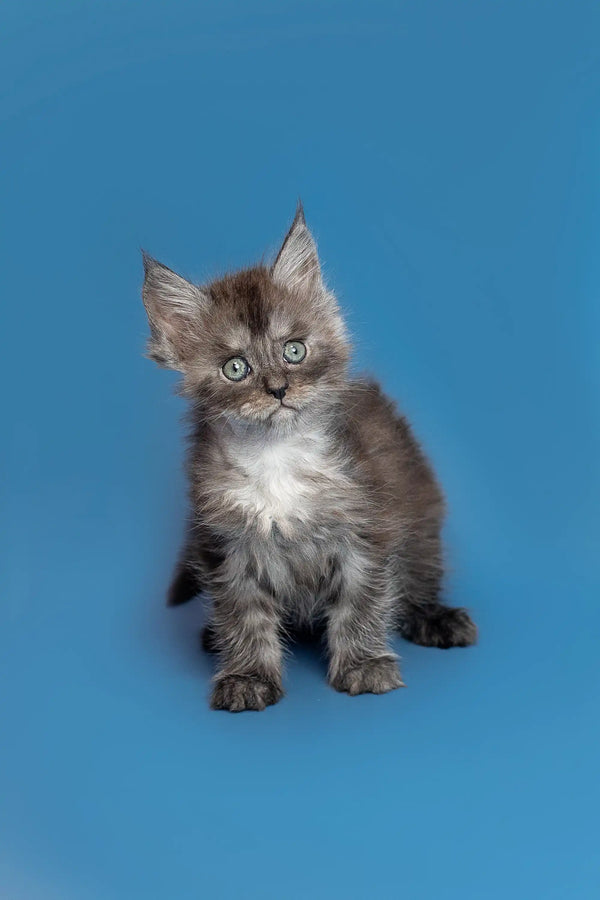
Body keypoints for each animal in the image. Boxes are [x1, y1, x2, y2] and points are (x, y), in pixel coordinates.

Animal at [142, 202, 478, 712]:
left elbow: (361, 603)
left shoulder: (367, 531)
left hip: (421, 521)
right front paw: (247, 675)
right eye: (235, 368)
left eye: (294, 350)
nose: (278, 388)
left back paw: (435, 617)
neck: (276, 457)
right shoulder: (226, 546)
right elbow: (244, 616)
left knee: (420, 576)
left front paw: (362, 665)